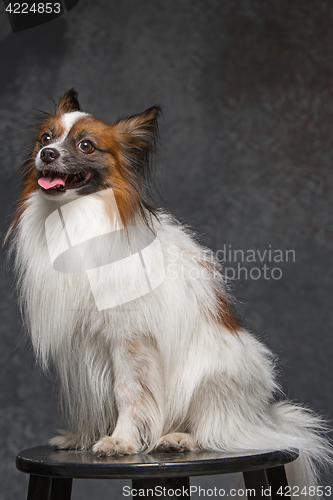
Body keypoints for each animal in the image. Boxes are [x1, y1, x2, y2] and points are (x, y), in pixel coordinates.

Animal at [6, 90, 330, 492]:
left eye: (86, 146)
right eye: (45, 139)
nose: (47, 155)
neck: (74, 215)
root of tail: (264, 417)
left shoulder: (128, 340)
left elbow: (128, 394)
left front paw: (121, 441)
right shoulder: (80, 346)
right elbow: (91, 398)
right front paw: (82, 437)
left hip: (212, 379)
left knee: (220, 432)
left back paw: (179, 438)